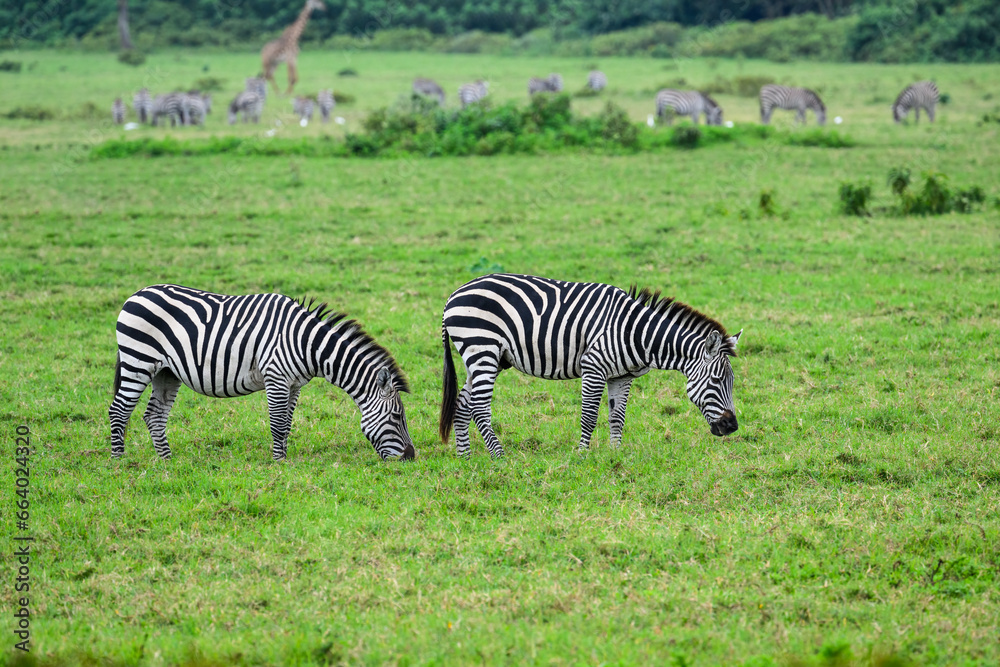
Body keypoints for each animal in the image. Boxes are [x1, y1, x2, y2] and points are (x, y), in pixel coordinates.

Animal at [109, 284, 415, 461]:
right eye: (397, 417)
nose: (411, 456)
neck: (307, 343)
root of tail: (136, 294)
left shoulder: (294, 385)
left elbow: (287, 423)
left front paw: (284, 458)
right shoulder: (276, 378)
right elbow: (278, 423)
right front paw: (279, 464)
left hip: (166, 372)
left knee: (154, 415)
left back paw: (167, 460)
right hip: (138, 360)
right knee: (119, 410)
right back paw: (119, 460)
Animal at [439, 274, 742, 458]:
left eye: (732, 382)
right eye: (717, 381)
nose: (732, 427)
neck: (636, 332)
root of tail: (453, 295)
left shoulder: (622, 376)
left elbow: (617, 417)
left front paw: (616, 453)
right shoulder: (593, 367)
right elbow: (589, 415)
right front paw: (582, 454)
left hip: (484, 357)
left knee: (463, 403)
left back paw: (466, 458)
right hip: (482, 348)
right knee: (479, 407)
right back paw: (499, 457)